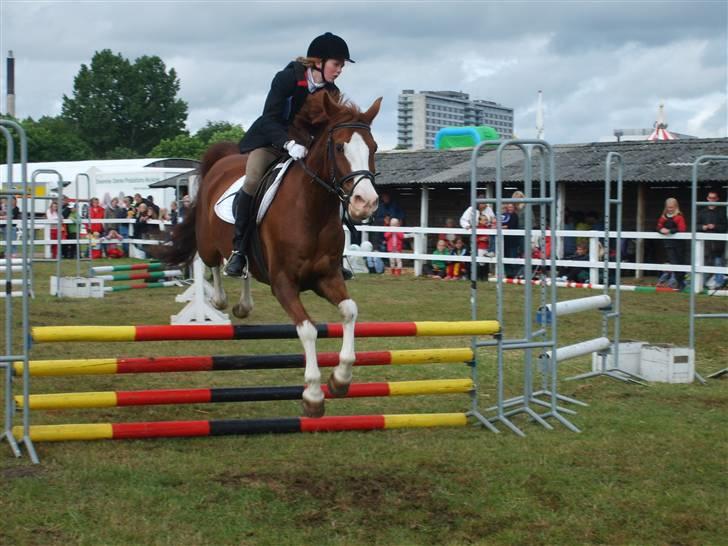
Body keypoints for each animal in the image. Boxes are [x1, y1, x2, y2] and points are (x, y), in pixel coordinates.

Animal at [160, 91, 384, 416]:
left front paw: (340, 379)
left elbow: (350, 311)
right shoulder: (284, 283)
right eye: (340, 146)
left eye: (373, 147)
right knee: (210, 262)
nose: (365, 203)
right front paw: (313, 395)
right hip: (208, 242)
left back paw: (243, 304)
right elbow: (308, 330)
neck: (312, 210)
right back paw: (219, 300)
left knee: (243, 269)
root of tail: (223, 160)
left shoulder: (327, 278)